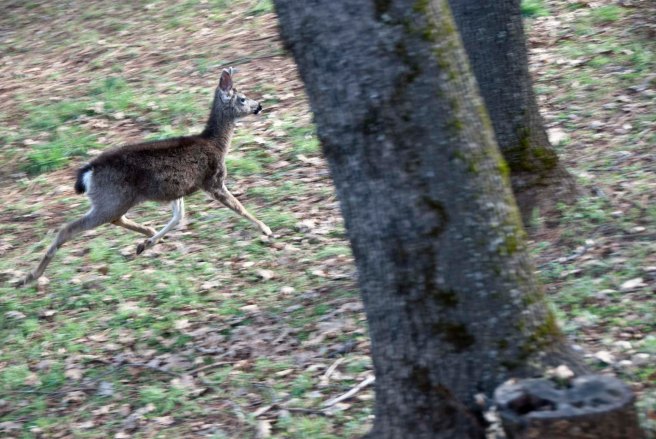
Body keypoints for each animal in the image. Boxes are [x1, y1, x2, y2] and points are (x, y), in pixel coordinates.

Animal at [23, 67, 271, 285]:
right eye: (242, 98)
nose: (259, 105)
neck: (216, 144)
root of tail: (89, 171)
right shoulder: (212, 180)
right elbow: (238, 206)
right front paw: (266, 230)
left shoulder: (176, 190)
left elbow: (178, 217)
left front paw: (147, 243)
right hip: (112, 199)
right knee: (68, 228)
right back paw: (30, 277)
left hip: (114, 200)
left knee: (114, 219)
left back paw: (147, 233)